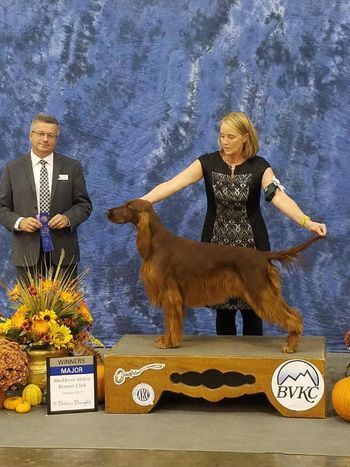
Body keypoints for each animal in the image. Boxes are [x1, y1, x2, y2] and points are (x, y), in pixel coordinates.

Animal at [107, 199, 322, 352]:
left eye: (127, 206)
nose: (107, 212)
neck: (155, 242)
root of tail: (262, 255)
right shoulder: (174, 295)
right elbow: (173, 322)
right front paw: (168, 340)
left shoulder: (170, 293)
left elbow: (171, 322)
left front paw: (168, 343)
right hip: (267, 291)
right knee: (294, 313)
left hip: (259, 291)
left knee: (291, 317)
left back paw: (290, 346)